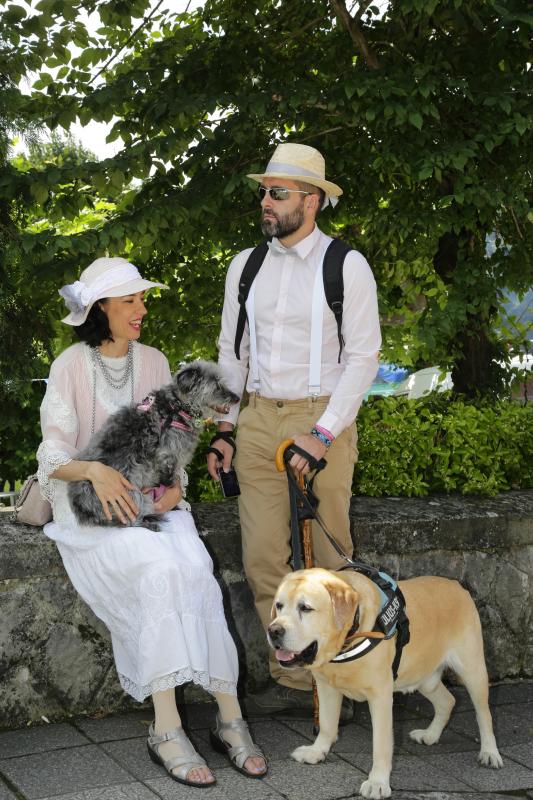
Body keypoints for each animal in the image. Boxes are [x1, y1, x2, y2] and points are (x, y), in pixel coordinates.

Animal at [67, 362, 238, 532]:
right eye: (217, 385)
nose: (236, 398)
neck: (177, 408)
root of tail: (83, 511)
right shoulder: (167, 457)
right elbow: (169, 483)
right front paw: (176, 502)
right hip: (129, 495)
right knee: (130, 520)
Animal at [268, 564, 500, 796]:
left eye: (305, 608)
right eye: (279, 606)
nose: (273, 631)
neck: (349, 638)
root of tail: (457, 585)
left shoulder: (380, 697)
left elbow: (381, 744)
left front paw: (378, 783)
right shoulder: (326, 687)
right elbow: (326, 724)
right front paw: (317, 751)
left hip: (473, 670)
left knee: (484, 714)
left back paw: (490, 752)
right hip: (424, 677)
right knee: (448, 701)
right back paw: (431, 734)